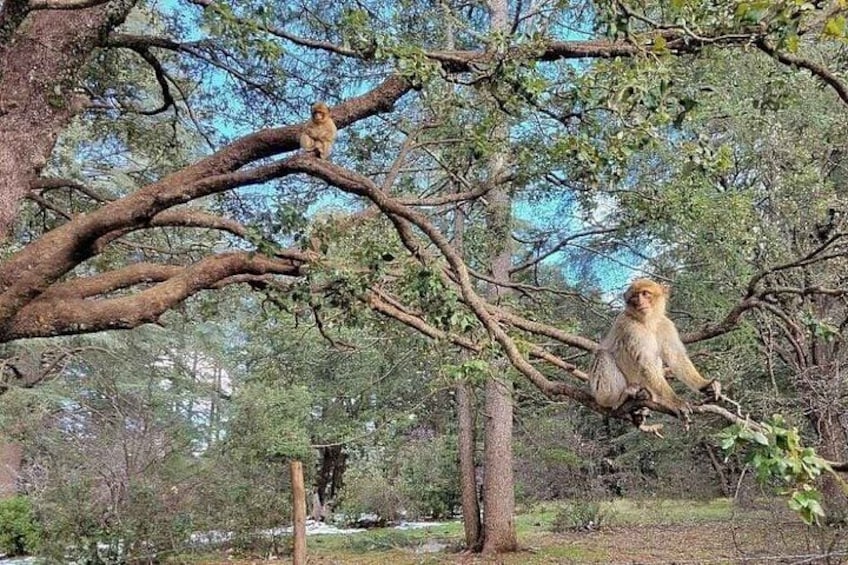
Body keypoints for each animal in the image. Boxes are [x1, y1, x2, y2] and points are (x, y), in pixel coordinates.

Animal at [589, 278, 721, 431]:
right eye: (634, 297)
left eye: (645, 293)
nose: (640, 302)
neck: (648, 322)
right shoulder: (629, 326)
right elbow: (645, 363)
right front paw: (676, 402)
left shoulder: (665, 324)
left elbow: (676, 357)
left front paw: (704, 385)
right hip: (601, 393)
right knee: (603, 355)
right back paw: (620, 398)